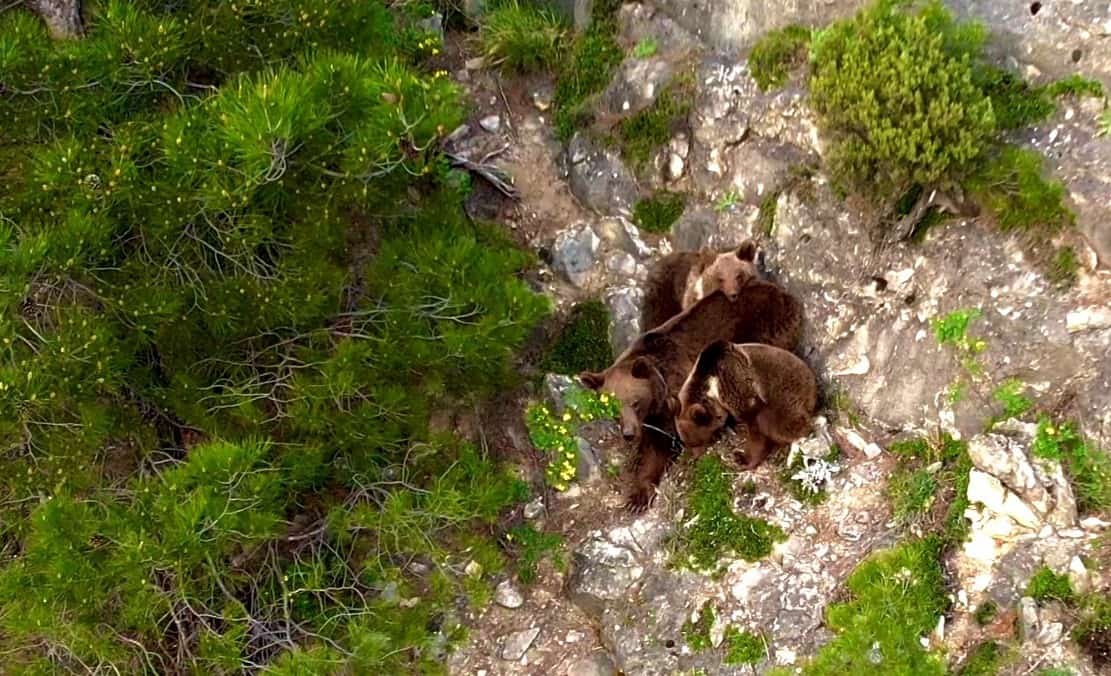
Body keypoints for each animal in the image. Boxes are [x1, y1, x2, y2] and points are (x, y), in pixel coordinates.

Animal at [582, 279, 799, 507]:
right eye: (612, 408)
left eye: (635, 402)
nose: (629, 434)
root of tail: (784, 294)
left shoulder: (672, 401)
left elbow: (660, 446)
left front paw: (639, 495)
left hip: (760, 334)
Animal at [666, 342, 817, 469]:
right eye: (687, 443)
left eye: (698, 442)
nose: (695, 458)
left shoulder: (735, 383)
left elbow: (754, 425)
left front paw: (743, 458)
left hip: (786, 393)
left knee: (780, 422)